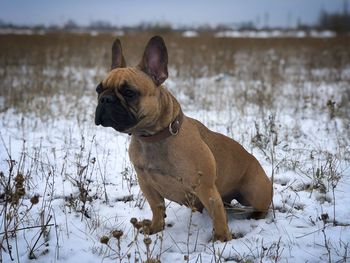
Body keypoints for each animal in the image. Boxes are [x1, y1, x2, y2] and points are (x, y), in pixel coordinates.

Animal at [94, 36, 272, 242]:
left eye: (129, 92)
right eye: (98, 90)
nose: (105, 99)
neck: (152, 137)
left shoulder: (206, 188)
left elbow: (218, 215)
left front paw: (221, 240)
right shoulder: (147, 184)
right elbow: (157, 208)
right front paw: (155, 228)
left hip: (255, 193)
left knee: (258, 207)